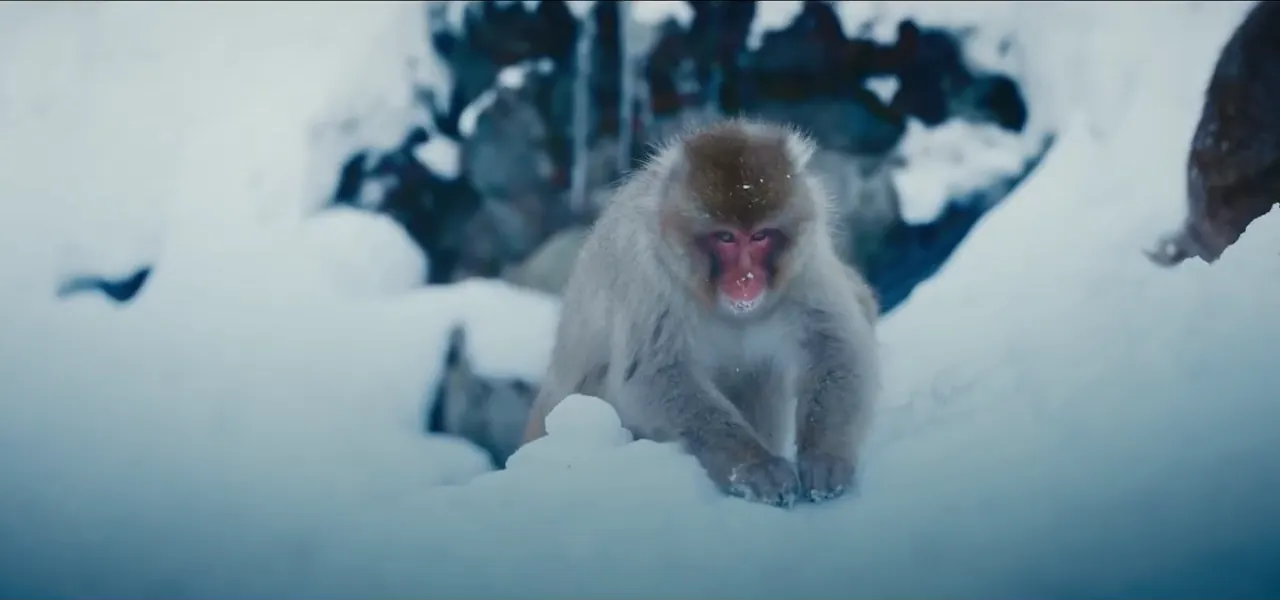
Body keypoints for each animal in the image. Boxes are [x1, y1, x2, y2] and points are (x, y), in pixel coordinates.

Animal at [521, 118, 880, 508]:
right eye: (725, 238)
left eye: (759, 237)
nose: (745, 280)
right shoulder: (650, 272)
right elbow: (654, 376)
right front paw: (757, 467)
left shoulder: (805, 263)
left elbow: (835, 345)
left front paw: (825, 458)